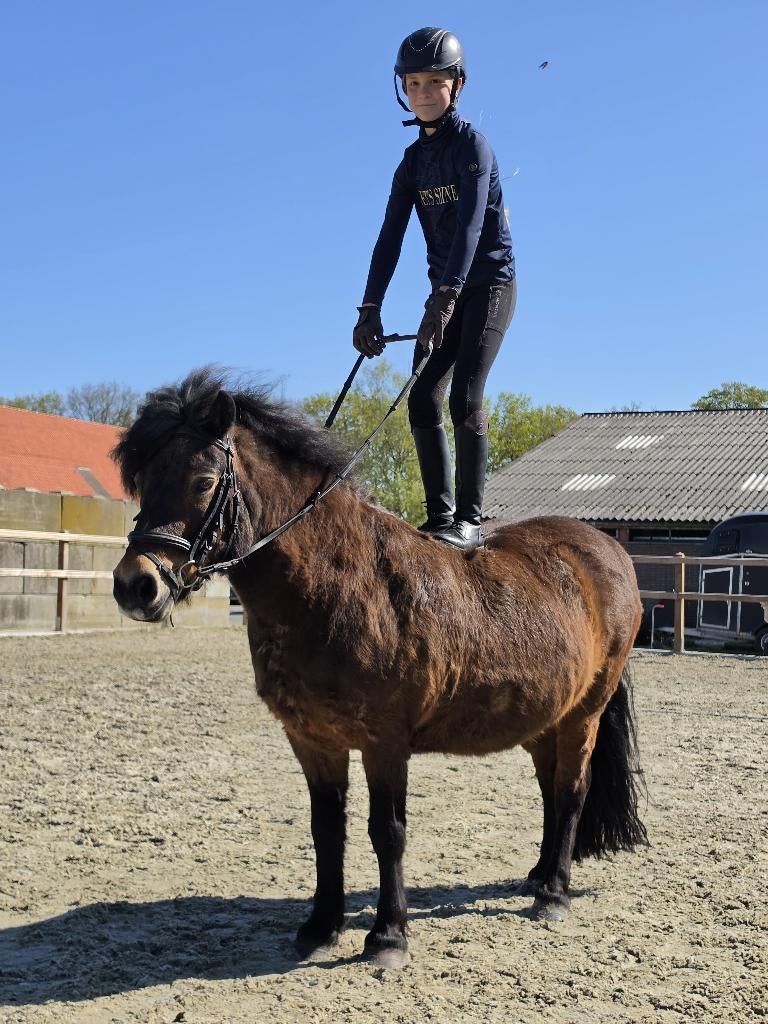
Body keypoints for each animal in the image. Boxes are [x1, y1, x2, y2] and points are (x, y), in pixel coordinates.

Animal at [112, 367, 647, 968]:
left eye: (203, 480)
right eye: (141, 479)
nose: (135, 585)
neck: (338, 584)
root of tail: (607, 550)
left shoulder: (384, 740)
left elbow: (386, 831)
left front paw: (388, 935)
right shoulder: (312, 738)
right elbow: (327, 829)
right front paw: (321, 926)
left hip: (584, 713)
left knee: (572, 790)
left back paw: (554, 892)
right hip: (543, 719)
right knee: (551, 790)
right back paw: (537, 875)